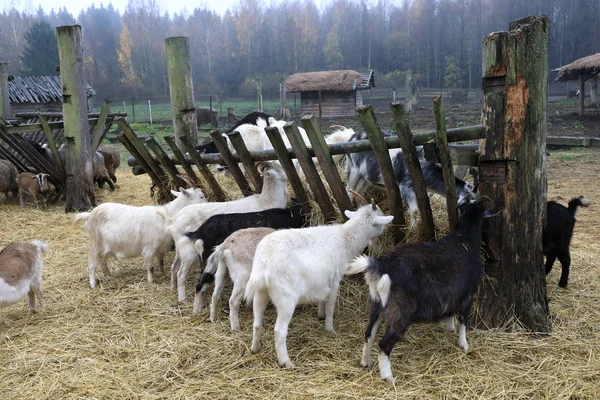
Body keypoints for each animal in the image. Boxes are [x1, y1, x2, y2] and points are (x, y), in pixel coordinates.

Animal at [73, 188, 206, 288]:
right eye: (201, 196)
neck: (166, 215)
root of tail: (89, 215)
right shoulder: (149, 247)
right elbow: (150, 266)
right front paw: (151, 281)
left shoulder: (160, 247)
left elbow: (160, 262)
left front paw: (162, 273)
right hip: (95, 242)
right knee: (92, 263)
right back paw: (92, 283)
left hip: (105, 246)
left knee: (102, 261)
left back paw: (109, 275)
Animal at [168, 161, 290, 302]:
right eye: (279, 166)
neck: (266, 200)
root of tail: (174, 221)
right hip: (189, 253)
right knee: (181, 273)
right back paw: (183, 298)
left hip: (180, 250)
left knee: (174, 267)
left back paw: (174, 288)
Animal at [344, 202, 500, 382]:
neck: (465, 238)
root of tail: (380, 267)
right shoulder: (468, 293)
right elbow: (463, 321)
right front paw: (464, 344)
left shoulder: (453, 292)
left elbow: (451, 313)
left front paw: (450, 329)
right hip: (401, 311)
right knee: (384, 344)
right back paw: (388, 378)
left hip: (377, 304)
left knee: (368, 334)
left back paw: (365, 362)